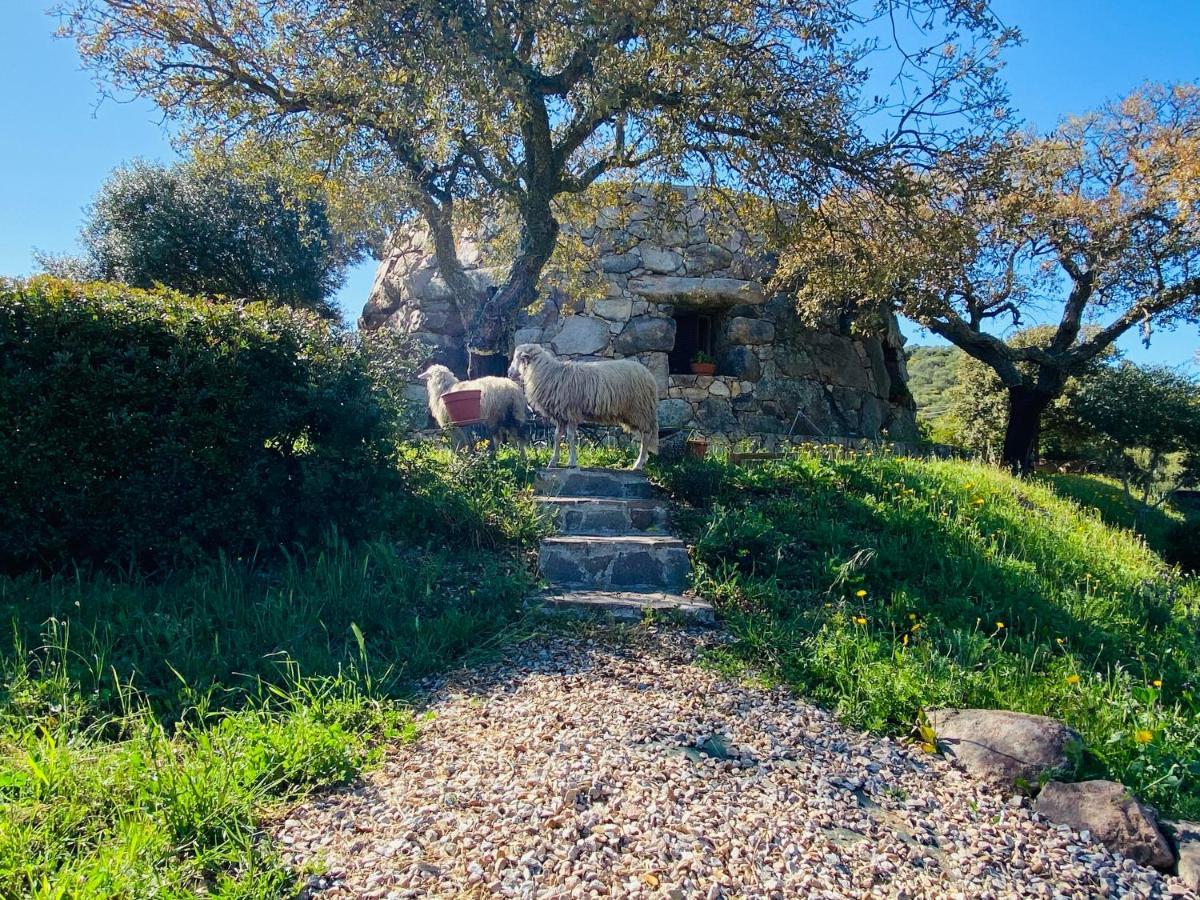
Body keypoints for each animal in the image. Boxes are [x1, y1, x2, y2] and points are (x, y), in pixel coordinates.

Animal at [504, 343, 662, 472]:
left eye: (518, 358)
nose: (509, 373)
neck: (547, 374)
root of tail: (649, 375)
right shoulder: (561, 415)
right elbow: (557, 436)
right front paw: (553, 461)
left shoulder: (570, 412)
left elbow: (570, 436)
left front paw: (572, 462)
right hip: (633, 414)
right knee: (644, 435)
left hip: (639, 410)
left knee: (647, 434)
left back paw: (639, 464)